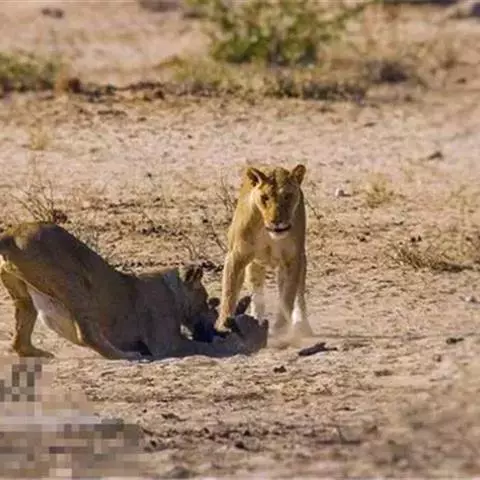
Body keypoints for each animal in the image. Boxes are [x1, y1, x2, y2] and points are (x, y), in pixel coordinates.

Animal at [0, 222, 268, 360]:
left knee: (21, 335)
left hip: (22, 293)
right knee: (88, 335)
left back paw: (35, 352)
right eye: (207, 302)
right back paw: (126, 355)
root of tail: (11, 232)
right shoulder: (166, 343)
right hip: (74, 283)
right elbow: (198, 348)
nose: (212, 326)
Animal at [217, 164, 313, 338]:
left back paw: (301, 324)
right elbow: (229, 292)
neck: (267, 230)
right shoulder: (236, 257)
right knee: (257, 294)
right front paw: (223, 326)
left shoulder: (292, 260)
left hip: (300, 260)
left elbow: (287, 297)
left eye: (287, 196)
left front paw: (280, 330)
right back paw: (256, 321)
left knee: (299, 293)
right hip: (254, 265)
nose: (276, 221)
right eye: (265, 197)